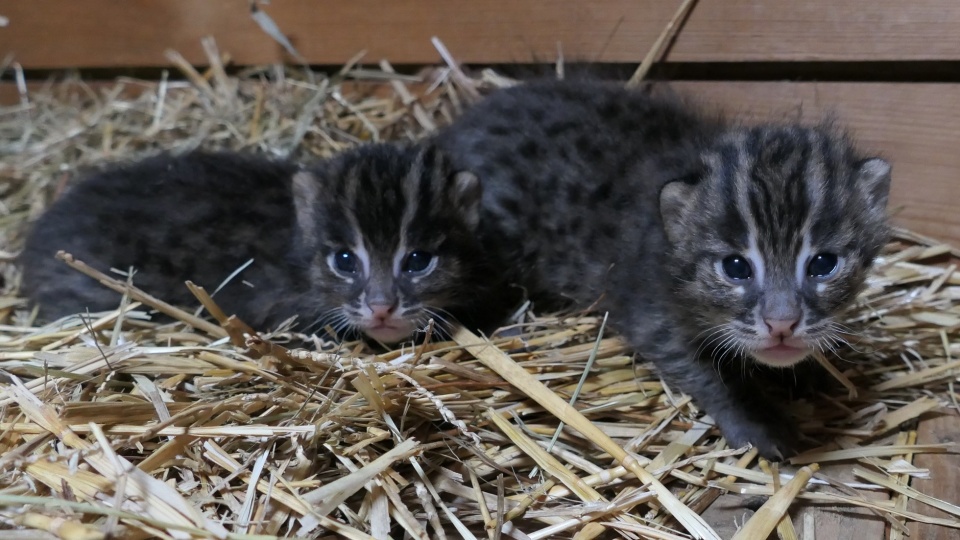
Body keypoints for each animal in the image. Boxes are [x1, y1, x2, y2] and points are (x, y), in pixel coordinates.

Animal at [436, 81, 892, 460]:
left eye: (822, 265)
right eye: (736, 267)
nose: (781, 324)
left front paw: (813, 367)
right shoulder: (655, 321)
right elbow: (712, 378)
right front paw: (758, 421)